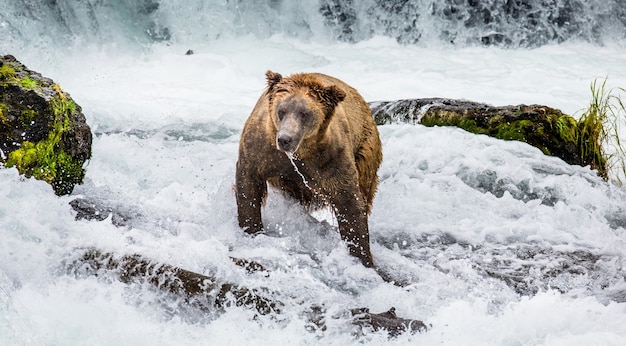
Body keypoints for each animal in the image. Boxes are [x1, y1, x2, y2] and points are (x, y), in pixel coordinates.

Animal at [234, 69, 380, 266]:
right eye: (281, 110)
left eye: (304, 113)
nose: (285, 139)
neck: (300, 153)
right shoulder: (260, 149)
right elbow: (248, 184)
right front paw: (252, 228)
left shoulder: (332, 159)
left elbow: (349, 201)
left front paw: (362, 256)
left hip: (365, 150)